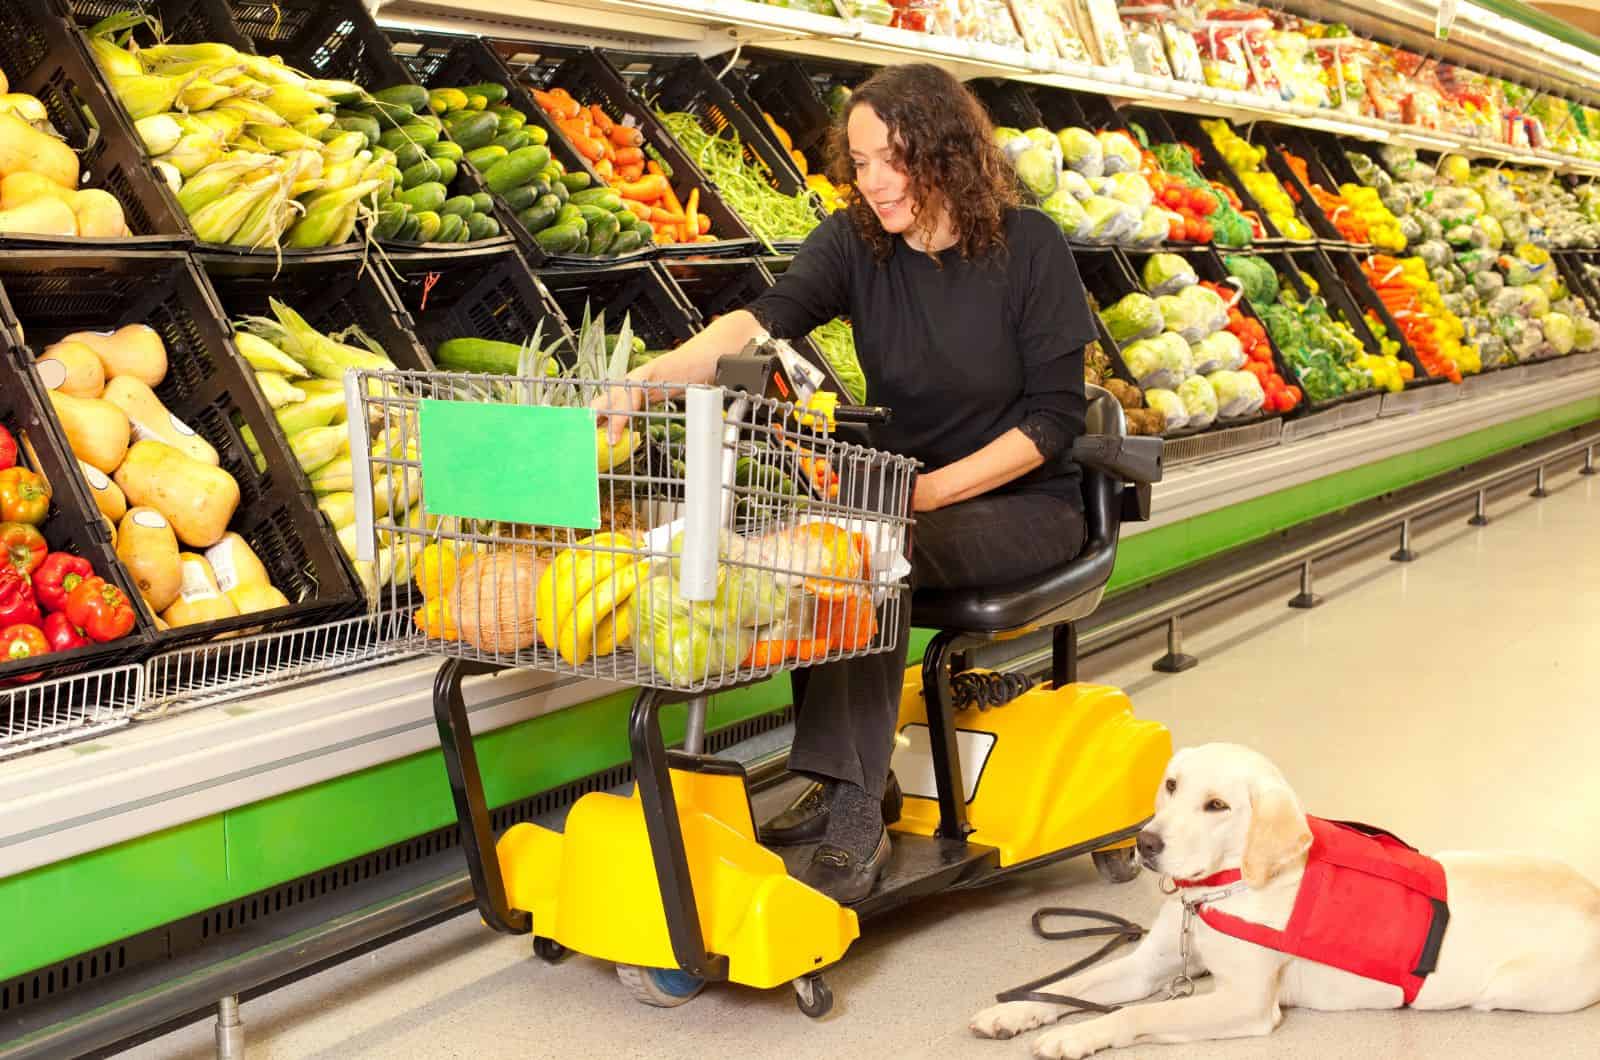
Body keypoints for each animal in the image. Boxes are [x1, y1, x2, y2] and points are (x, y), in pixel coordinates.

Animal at [960, 746, 1600, 1060]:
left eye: (1218, 806)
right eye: (1171, 785)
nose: (1145, 844)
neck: (1217, 890)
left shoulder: (1243, 1003)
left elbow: (1138, 1014)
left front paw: (1077, 1036)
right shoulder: (1148, 966)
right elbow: (1073, 986)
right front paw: (1015, 1012)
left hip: (1511, 989)